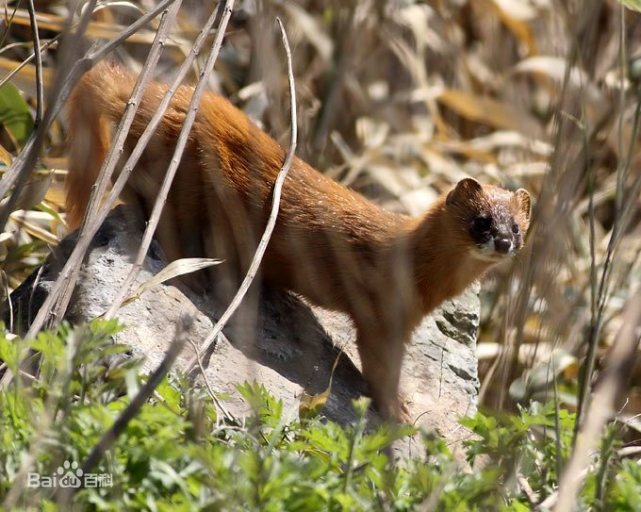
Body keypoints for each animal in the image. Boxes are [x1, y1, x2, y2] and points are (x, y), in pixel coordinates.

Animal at [65, 63, 528, 420]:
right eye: (481, 222)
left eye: (518, 227)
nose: (504, 242)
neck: (422, 277)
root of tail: (149, 93)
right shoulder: (381, 312)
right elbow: (379, 364)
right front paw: (398, 410)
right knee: (162, 221)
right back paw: (195, 277)